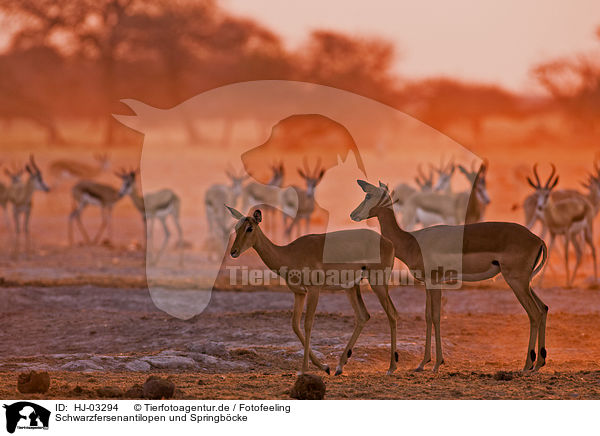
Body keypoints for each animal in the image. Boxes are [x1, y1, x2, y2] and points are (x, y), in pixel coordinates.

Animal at [350, 179, 552, 372]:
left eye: (369, 195)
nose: (353, 214)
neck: (412, 241)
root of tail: (537, 239)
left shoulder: (435, 281)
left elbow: (436, 316)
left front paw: (436, 364)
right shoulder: (429, 284)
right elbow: (428, 316)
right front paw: (422, 364)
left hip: (517, 282)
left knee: (534, 313)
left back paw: (527, 366)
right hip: (525, 283)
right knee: (543, 308)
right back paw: (539, 363)